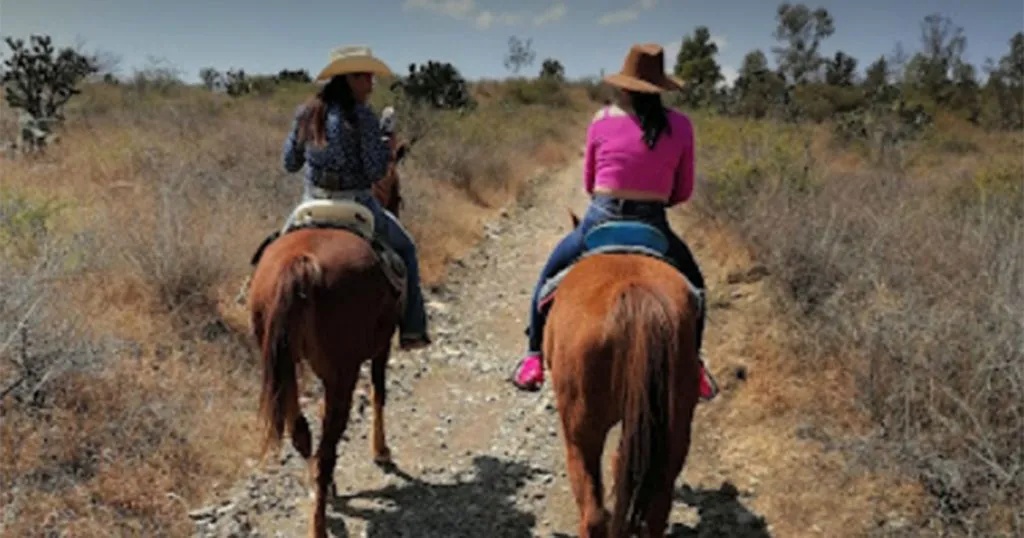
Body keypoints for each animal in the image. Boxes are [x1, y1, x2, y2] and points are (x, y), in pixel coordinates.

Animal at [249, 223, 401, 536]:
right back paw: (318, 523)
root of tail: (301, 263)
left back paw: (320, 494)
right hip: (343, 373)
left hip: (286, 367)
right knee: (326, 452)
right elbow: (379, 391)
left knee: (302, 434)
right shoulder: (382, 347)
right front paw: (381, 451)